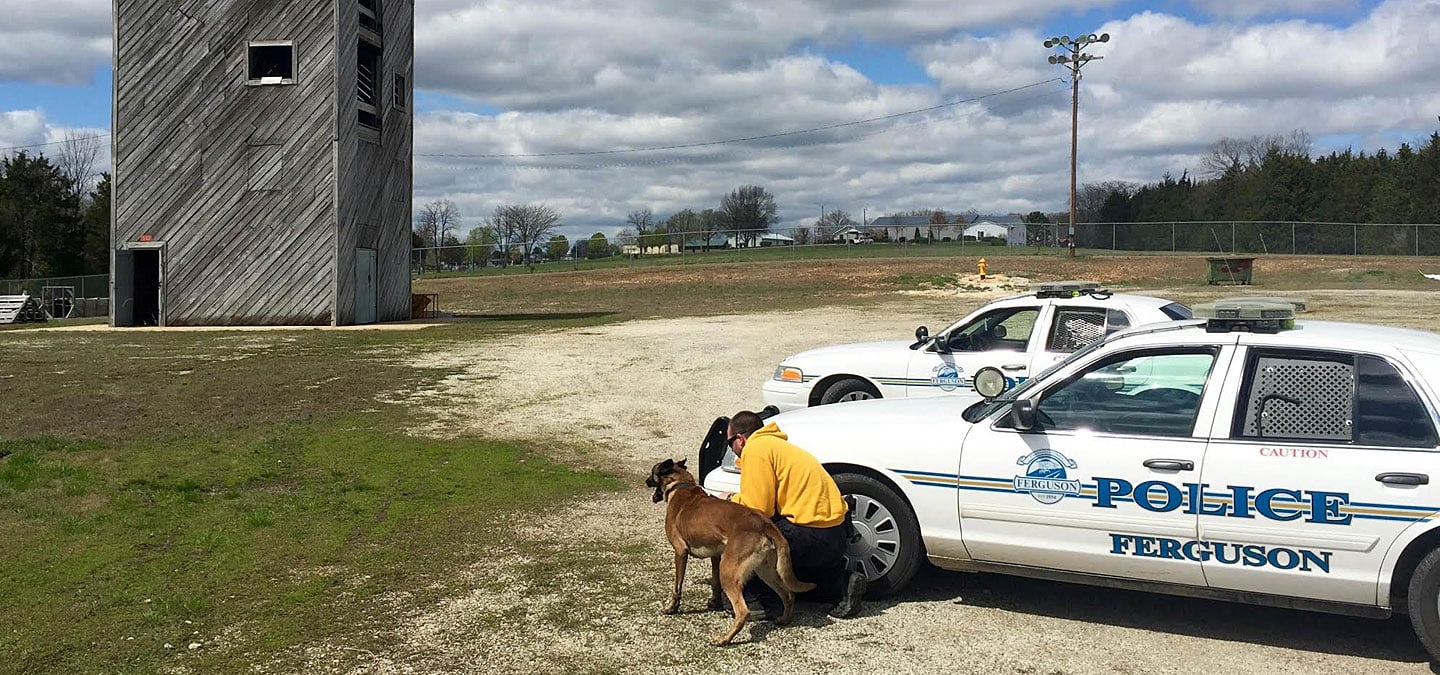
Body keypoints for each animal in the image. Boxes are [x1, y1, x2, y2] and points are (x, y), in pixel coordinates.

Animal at [648, 457, 817, 641]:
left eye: (652, 472)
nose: (646, 481)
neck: (680, 485)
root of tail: (764, 523)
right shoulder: (715, 556)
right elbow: (715, 583)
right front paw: (715, 602)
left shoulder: (680, 552)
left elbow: (677, 586)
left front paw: (671, 608)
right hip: (765, 571)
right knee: (789, 594)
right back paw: (784, 619)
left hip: (729, 572)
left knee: (743, 612)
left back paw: (725, 639)